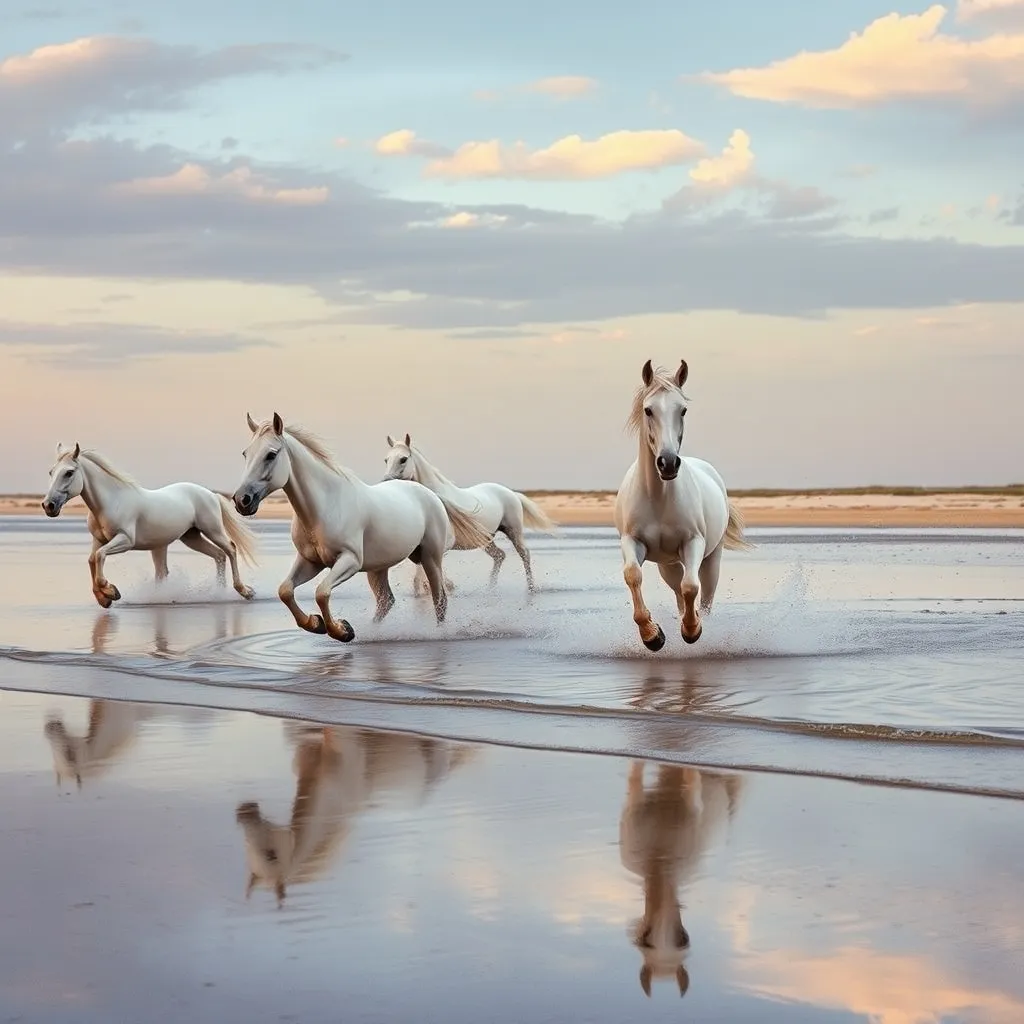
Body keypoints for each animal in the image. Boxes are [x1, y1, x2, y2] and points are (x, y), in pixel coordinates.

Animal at [41, 443, 258, 608]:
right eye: (51, 472)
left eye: (69, 473)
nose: (48, 505)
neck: (111, 501)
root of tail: (210, 494)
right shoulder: (98, 540)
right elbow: (92, 559)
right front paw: (104, 597)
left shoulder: (125, 540)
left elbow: (100, 556)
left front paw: (110, 591)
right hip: (191, 537)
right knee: (219, 556)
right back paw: (218, 593)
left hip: (212, 530)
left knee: (230, 549)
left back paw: (244, 591)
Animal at [231, 413, 492, 643]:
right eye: (245, 453)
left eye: (270, 454)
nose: (242, 500)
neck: (325, 506)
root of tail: (430, 494)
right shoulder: (309, 561)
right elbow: (285, 590)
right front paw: (316, 624)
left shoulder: (350, 561)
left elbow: (321, 592)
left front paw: (341, 630)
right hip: (378, 568)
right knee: (386, 601)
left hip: (430, 558)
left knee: (439, 599)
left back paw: (438, 634)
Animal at [383, 433, 557, 595]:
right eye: (386, 460)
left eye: (403, 459)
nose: (386, 481)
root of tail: (511, 493)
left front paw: (444, 587)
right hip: (485, 539)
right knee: (499, 556)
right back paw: (490, 589)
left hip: (513, 531)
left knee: (524, 554)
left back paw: (531, 588)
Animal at [614, 359, 751, 651]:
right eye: (648, 409)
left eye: (683, 410)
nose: (668, 463)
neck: (659, 497)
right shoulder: (632, 541)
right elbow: (633, 575)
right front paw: (652, 635)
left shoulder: (693, 543)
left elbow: (691, 586)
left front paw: (691, 630)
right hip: (668, 564)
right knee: (677, 591)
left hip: (711, 558)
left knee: (703, 594)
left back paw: (697, 622)